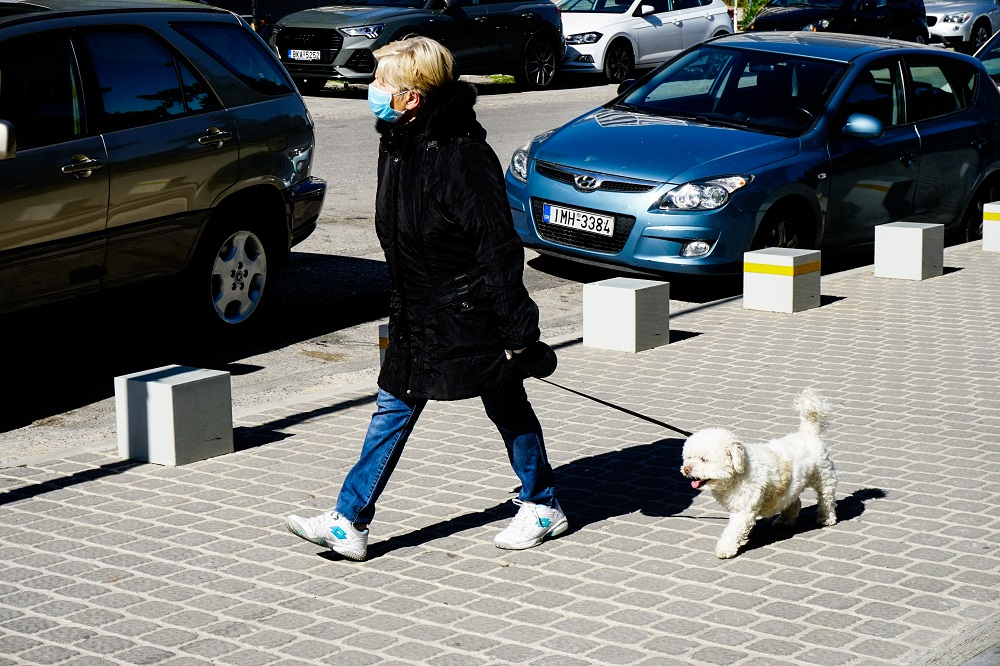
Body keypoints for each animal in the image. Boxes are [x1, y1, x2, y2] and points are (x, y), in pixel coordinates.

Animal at [680, 386, 836, 556]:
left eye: (703, 459)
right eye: (688, 457)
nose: (686, 469)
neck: (739, 473)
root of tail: (807, 432)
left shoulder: (743, 511)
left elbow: (733, 531)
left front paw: (725, 548)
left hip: (824, 478)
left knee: (826, 499)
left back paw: (826, 518)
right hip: (789, 489)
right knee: (794, 502)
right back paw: (784, 521)